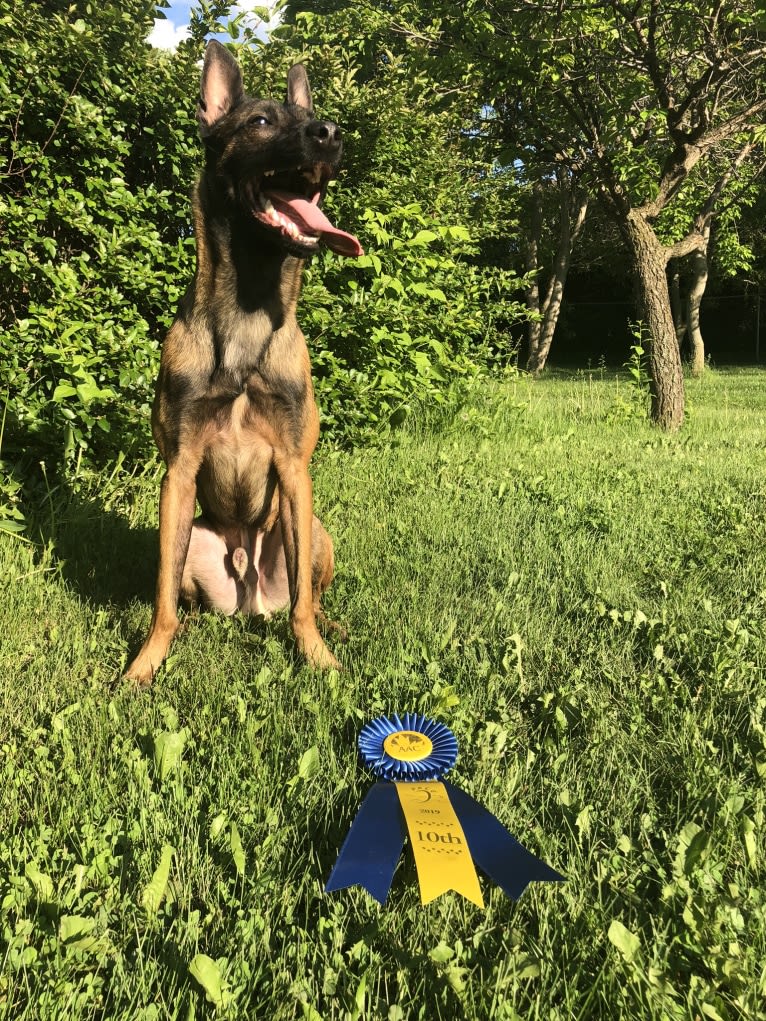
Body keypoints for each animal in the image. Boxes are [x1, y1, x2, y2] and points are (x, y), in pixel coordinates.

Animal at [125, 37, 363, 686]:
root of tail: (249, 599)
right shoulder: (177, 474)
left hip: (313, 530)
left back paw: (330, 628)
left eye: (312, 116)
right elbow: (160, 602)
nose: (330, 133)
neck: (247, 312)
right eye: (259, 122)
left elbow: (303, 605)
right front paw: (144, 665)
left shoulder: (295, 467)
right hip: (185, 532)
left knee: (310, 595)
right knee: (181, 594)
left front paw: (316, 657)